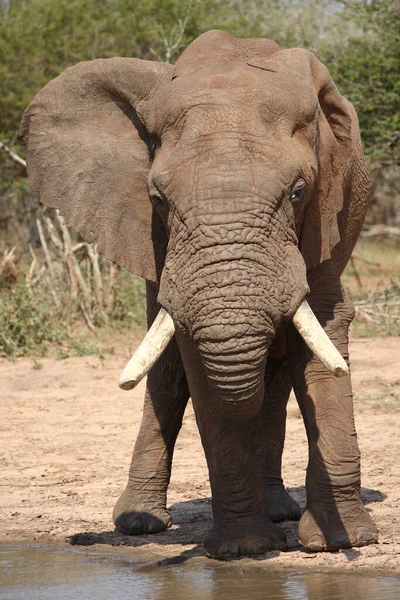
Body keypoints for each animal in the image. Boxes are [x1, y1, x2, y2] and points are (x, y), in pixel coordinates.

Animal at [21, 31, 378, 556]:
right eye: (157, 200)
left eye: (298, 192)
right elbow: (192, 357)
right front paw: (245, 549)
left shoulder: (329, 210)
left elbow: (325, 332)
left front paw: (340, 540)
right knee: (169, 376)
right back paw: (140, 522)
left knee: (273, 382)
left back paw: (279, 510)